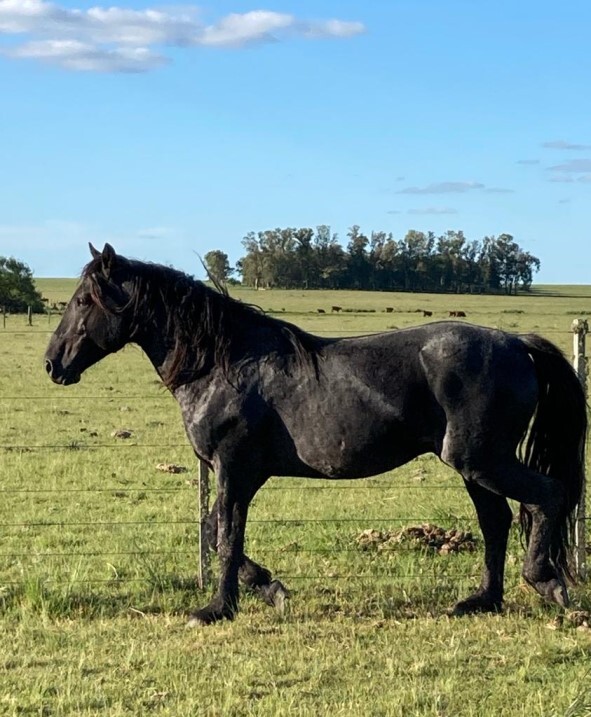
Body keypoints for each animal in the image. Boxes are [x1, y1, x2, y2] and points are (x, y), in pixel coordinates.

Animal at [45, 243, 588, 624]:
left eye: (83, 300)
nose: (53, 364)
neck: (224, 363)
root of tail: (516, 342)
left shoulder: (232, 469)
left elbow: (225, 537)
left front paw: (218, 609)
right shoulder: (237, 475)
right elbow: (225, 535)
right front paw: (270, 589)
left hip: (482, 460)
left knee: (546, 496)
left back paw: (546, 582)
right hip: (474, 465)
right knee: (496, 521)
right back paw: (481, 601)